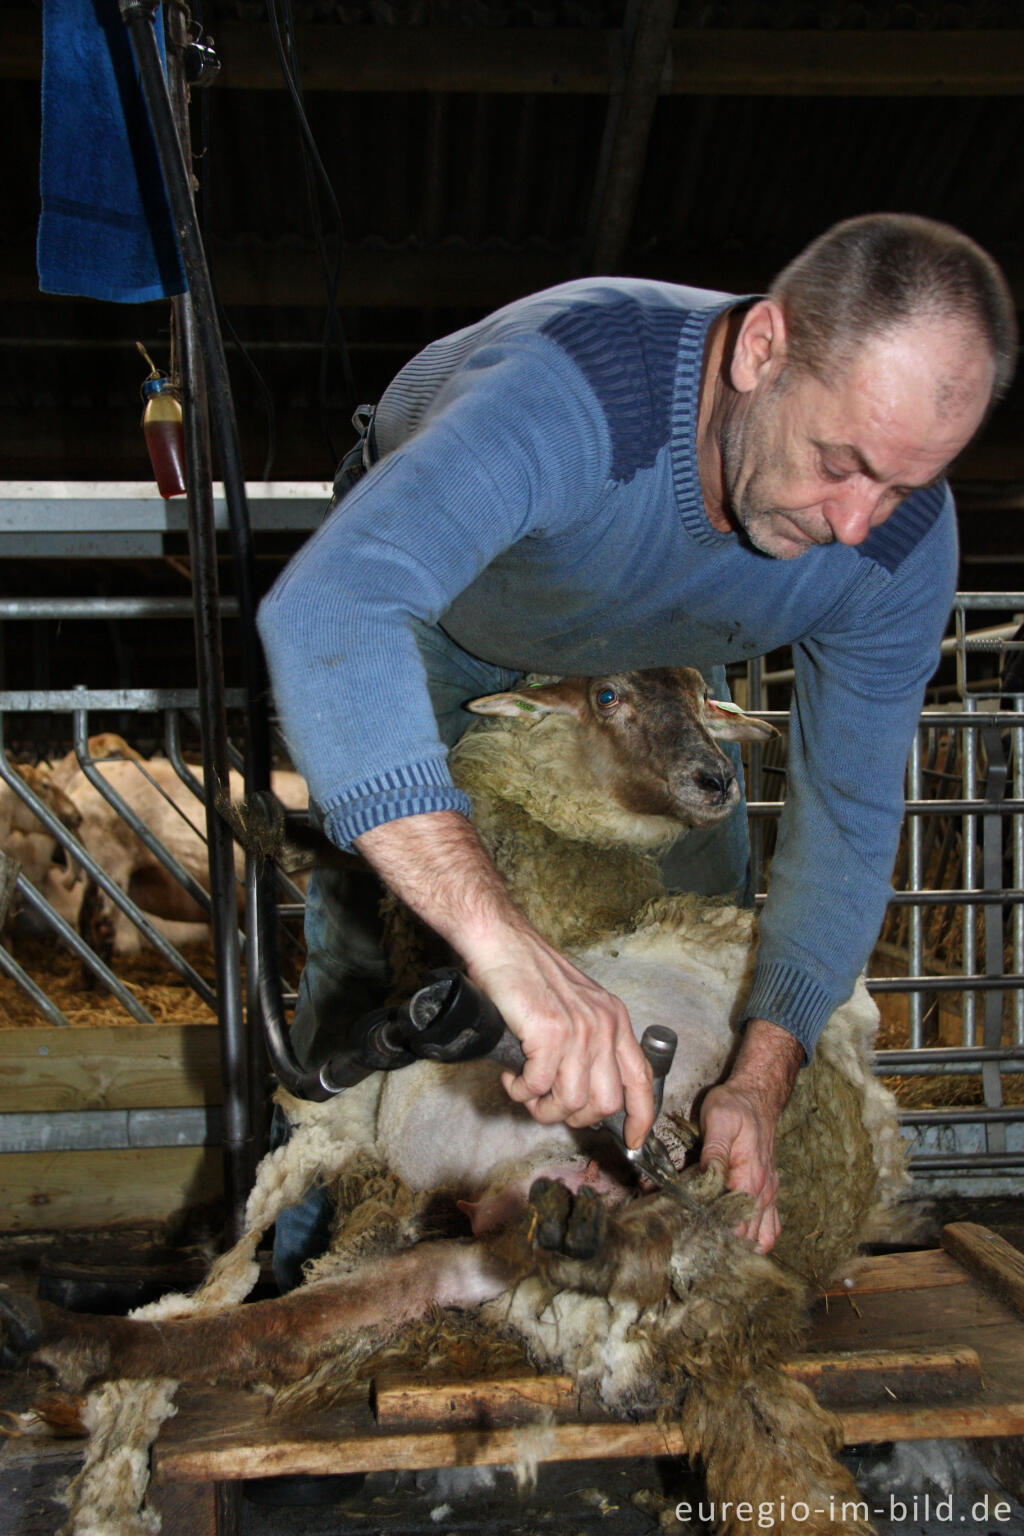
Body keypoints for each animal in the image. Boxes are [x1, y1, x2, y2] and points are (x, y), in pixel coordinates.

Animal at [2, 669, 914, 1536]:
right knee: (295, 1321)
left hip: (748, 1180)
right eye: (608, 694)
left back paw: (598, 1239)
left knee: (688, 1242)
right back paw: (72, 1336)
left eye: (701, 697)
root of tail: (721, 1348)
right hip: (476, 1250)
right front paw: (269, 824)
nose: (717, 778)